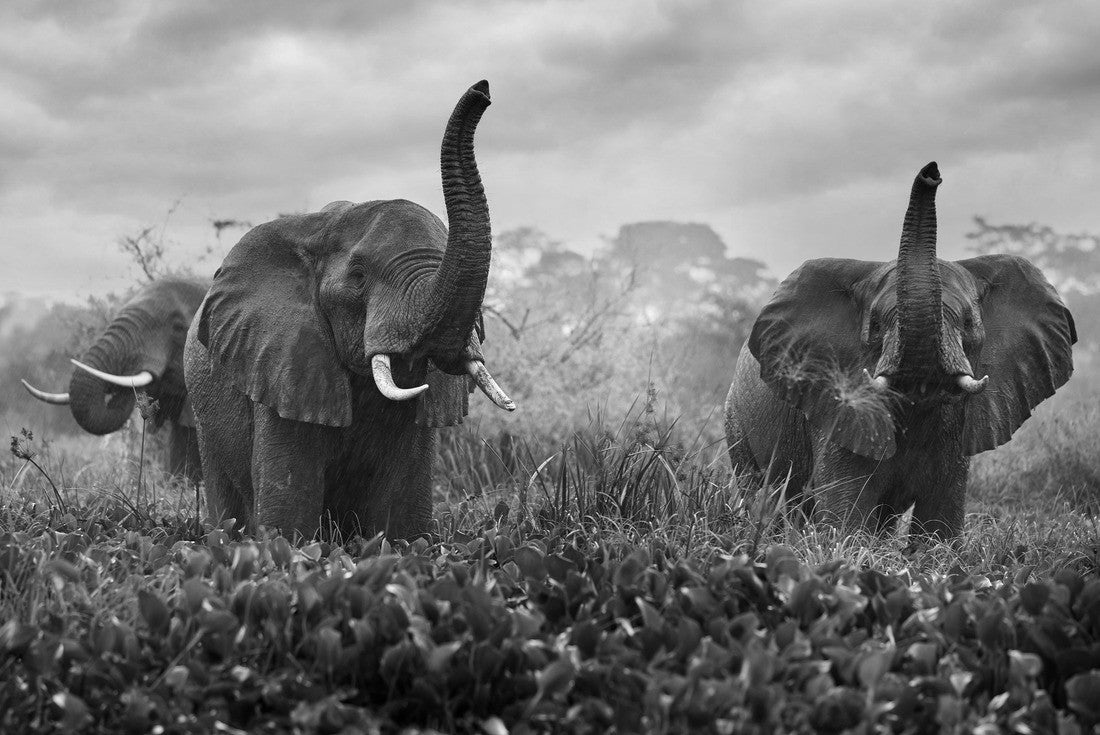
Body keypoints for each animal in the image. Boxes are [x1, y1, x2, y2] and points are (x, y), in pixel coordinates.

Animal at [184, 80, 514, 541]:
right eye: (358, 277)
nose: (484, 90)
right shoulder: (285, 364)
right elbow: (288, 514)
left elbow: (403, 517)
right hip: (204, 412)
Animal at [725, 162, 1076, 539]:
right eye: (877, 325)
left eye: (968, 323)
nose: (932, 172)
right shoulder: (837, 405)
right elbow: (846, 514)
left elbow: (940, 520)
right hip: (736, 423)